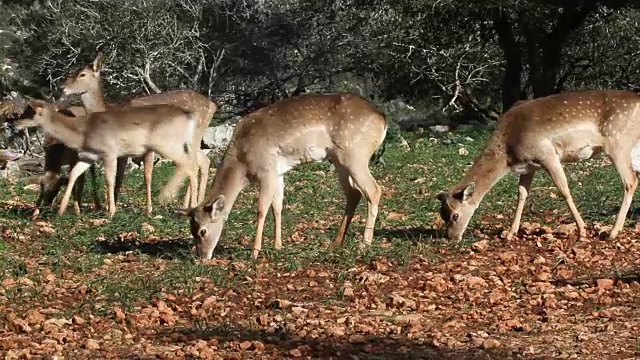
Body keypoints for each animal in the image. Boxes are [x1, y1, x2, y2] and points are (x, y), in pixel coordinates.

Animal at [15, 100, 200, 217]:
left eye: (30, 112)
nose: (14, 123)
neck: (83, 133)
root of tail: (189, 118)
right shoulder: (88, 156)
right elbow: (74, 174)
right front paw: (61, 210)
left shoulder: (109, 153)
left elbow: (110, 179)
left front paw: (111, 211)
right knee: (193, 165)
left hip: (167, 145)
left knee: (189, 166)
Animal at [61, 49, 219, 215]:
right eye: (74, 71)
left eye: (82, 74)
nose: (62, 87)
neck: (111, 109)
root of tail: (212, 105)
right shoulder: (122, 151)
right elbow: (119, 177)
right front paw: (113, 206)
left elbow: (147, 175)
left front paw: (148, 210)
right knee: (202, 161)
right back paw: (190, 204)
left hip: (193, 135)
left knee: (196, 162)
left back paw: (191, 204)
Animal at [188, 93, 388, 260]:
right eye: (191, 230)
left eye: (202, 231)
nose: (202, 257)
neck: (242, 163)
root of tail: (382, 119)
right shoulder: (279, 173)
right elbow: (277, 207)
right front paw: (278, 246)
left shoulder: (267, 170)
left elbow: (262, 209)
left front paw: (255, 252)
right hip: (340, 161)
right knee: (354, 193)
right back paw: (335, 243)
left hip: (355, 156)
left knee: (374, 190)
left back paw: (364, 244)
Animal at [438, 90, 640, 242]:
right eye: (442, 214)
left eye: (455, 215)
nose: (450, 237)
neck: (508, 155)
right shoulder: (529, 167)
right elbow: (521, 194)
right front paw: (510, 233)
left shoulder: (547, 154)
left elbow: (564, 190)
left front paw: (582, 231)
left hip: (617, 142)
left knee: (630, 180)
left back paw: (613, 232)